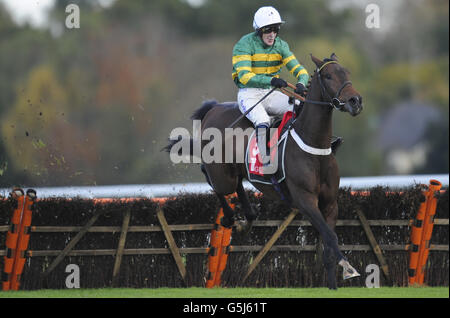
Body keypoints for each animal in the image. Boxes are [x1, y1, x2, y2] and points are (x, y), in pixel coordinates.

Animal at [164, 52, 362, 288]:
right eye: (329, 76)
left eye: (347, 72)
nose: (355, 101)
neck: (313, 144)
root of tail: (213, 108)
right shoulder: (305, 201)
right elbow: (331, 238)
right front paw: (349, 267)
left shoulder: (330, 203)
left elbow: (329, 245)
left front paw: (333, 284)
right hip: (221, 172)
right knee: (214, 180)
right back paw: (230, 217)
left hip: (236, 170)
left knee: (238, 184)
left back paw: (247, 219)